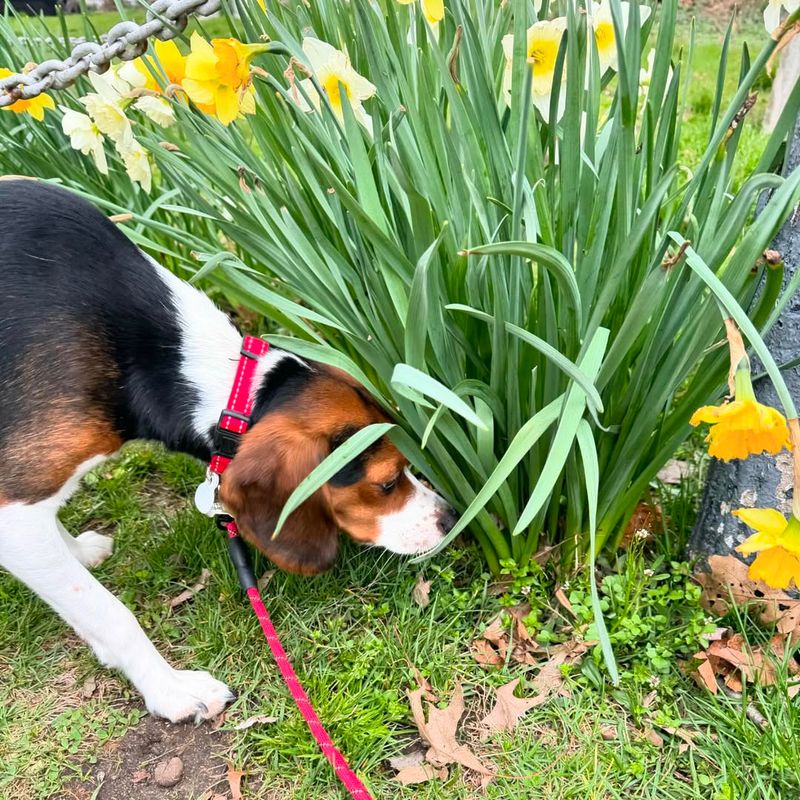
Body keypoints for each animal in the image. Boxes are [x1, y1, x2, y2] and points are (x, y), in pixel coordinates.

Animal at [0, 181, 456, 724]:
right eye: (386, 483)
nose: (451, 518)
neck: (157, 353)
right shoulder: (13, 508)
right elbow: (111, 612)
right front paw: (171, 689)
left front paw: (72, 551)